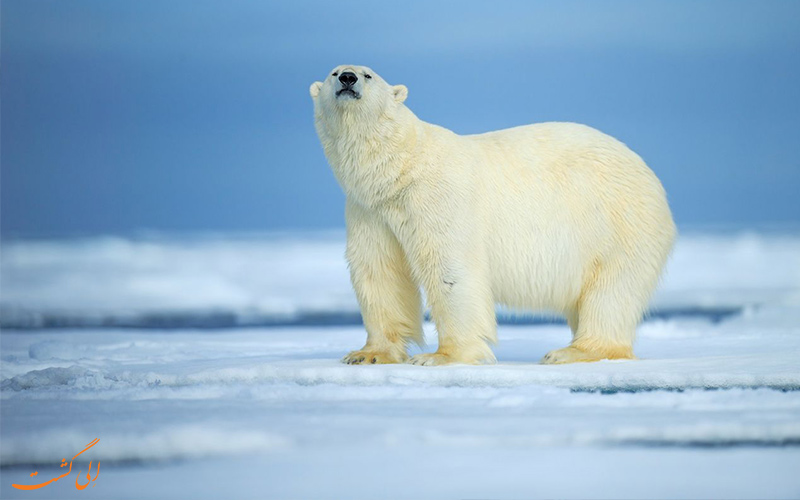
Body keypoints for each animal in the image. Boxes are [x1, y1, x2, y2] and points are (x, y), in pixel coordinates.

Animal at [310, 64, 672, 366]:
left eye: (367, 74)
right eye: (333, 72)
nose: (347, 79)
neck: (401, 167)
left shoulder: (438, 198)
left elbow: (450, 268)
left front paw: (441, 356)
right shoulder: (368, 210)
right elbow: (379, 271)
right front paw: (367, 354)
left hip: (617, 222)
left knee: (611, 292)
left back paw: (572, 351)